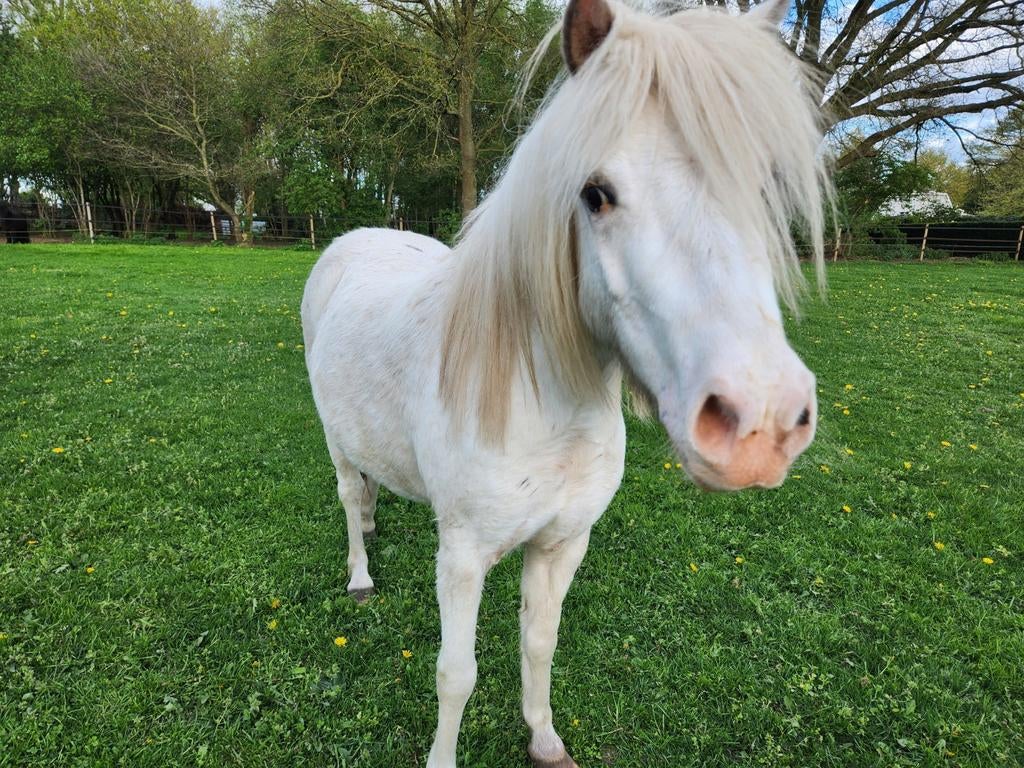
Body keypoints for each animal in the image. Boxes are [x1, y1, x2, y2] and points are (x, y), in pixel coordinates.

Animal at [301, 0, 829, 764]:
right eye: (595, 193)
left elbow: (539, 645)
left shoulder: (561, 545)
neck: (542, 409)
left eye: (762, 188)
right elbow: (455, 674)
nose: (759, 422)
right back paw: (361, 575)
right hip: (335, 442)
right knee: (348, 499)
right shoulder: (463, 556)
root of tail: (353, 241)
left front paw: (546, 740)